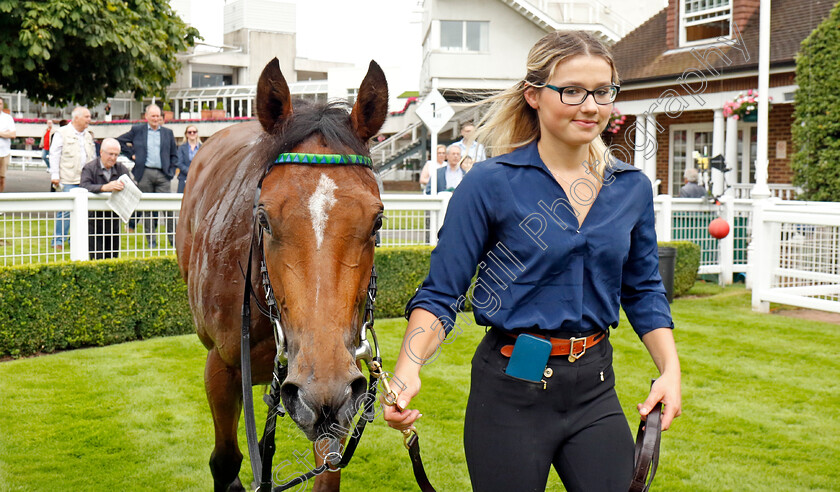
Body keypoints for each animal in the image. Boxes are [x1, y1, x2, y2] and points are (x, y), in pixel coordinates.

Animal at [177, 58, 390, 492]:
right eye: (263, 218)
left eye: (376, 221)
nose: (322, 392)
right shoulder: (221, 367)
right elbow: (225, 461)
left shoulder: (339, 387)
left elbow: (328, 468)